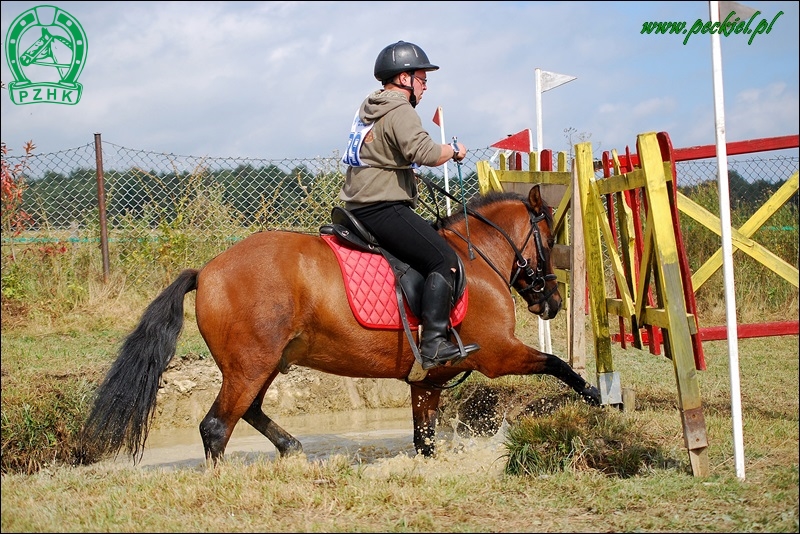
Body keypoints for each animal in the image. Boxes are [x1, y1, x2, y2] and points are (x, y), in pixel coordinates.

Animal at [81, 185, 600, 468]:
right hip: (251, 364)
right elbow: (557, 364)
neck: (476, 261)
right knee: (215, 426)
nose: (553, 301)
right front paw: (598, 398)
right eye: (549, 238)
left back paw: (292, 448)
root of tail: (207, 270)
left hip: (262, 363)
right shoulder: (498, 352)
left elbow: (425, 443)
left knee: (248, 412)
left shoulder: (426, 383)